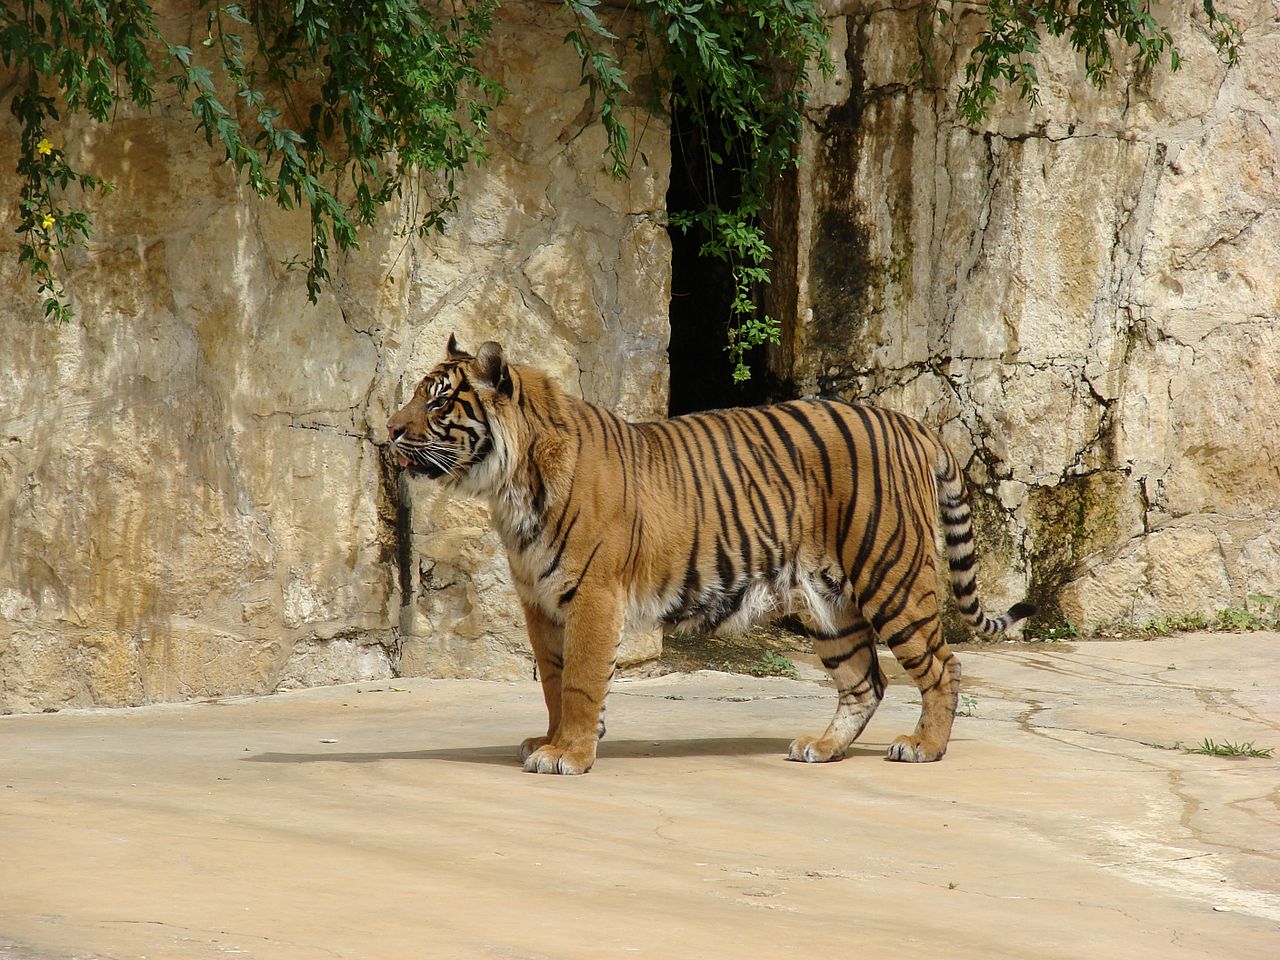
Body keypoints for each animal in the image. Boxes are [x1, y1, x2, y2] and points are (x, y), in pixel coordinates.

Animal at [384, 335, 1034, 773]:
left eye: (438, 403)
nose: (389, 429)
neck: (509, 485)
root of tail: (912, 425)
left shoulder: (593, 593)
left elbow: (582, 679)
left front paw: (567, 753)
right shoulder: (539, 601)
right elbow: (553, 678)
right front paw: (551, 739)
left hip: (890, 575)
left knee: (943, 665)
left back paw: (923, 747)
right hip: (828, 604)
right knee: (864, 681)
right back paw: (822, 747)